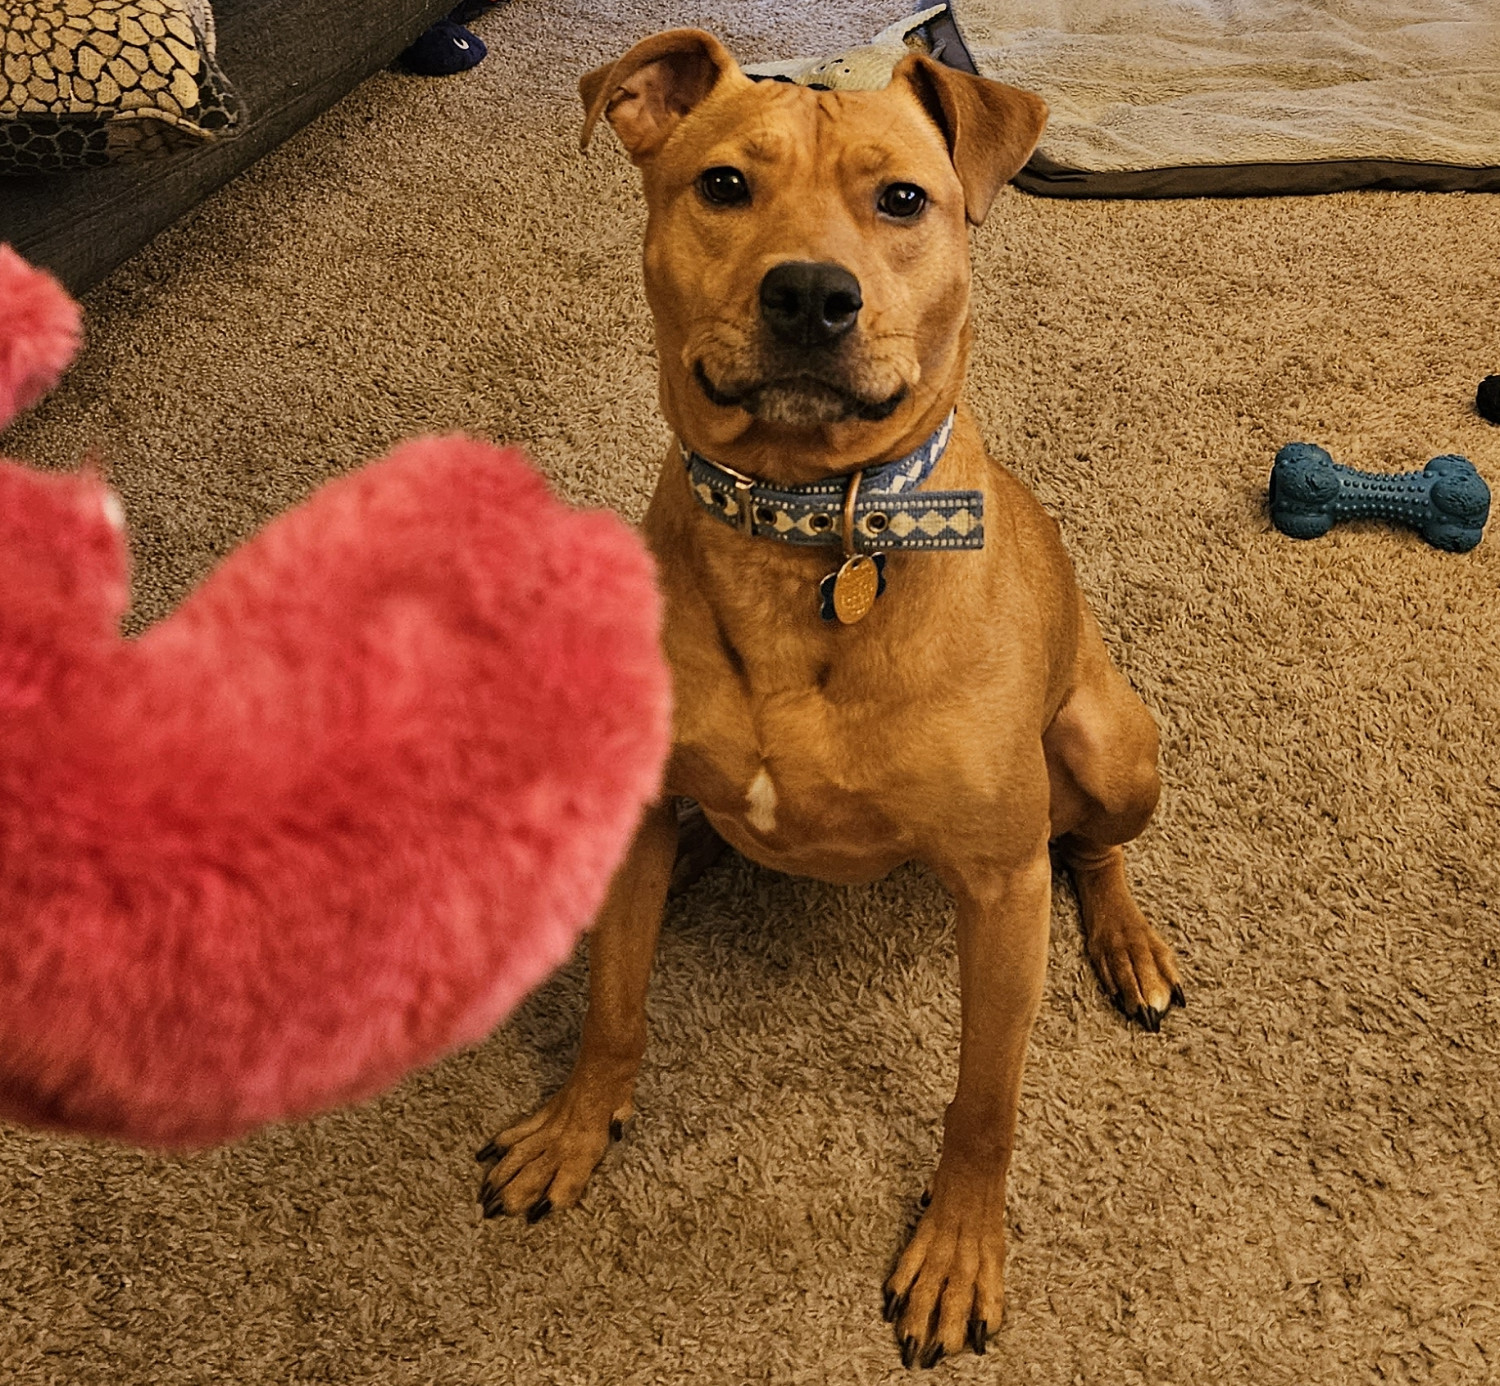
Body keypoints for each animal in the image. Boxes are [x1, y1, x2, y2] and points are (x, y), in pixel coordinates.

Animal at [480, 27, 1182, 1368]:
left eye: (902, 200)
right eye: (722, 187)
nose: (810, 295)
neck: (807, 529)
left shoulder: (1001, 888)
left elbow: (984, 1102)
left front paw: (958, 1251)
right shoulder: (639, 811)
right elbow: (612, 1003)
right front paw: (579, 1127)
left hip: (1111, 742)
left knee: (1093, 846)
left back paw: (1127, 942)